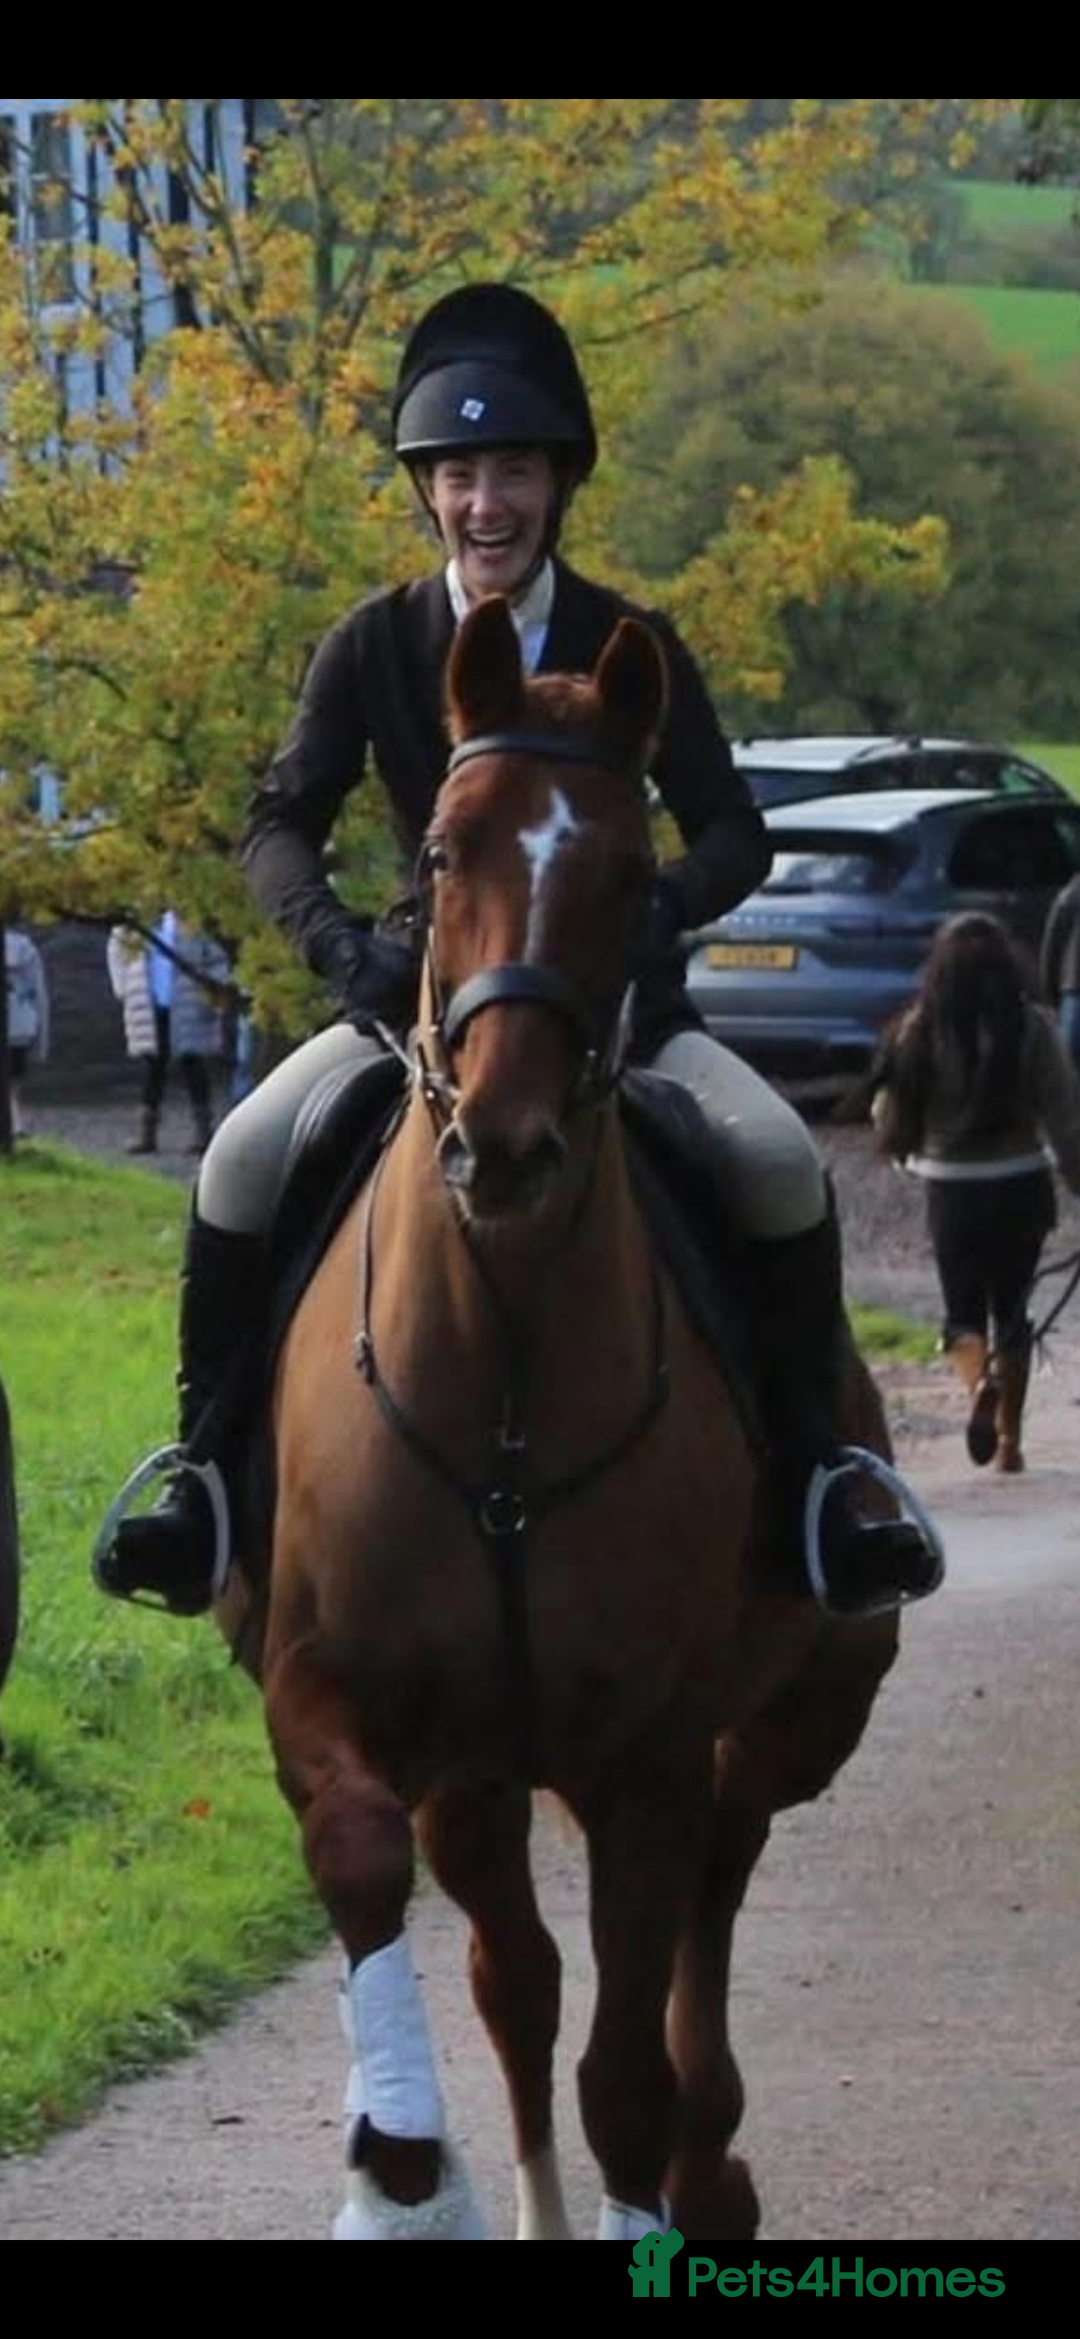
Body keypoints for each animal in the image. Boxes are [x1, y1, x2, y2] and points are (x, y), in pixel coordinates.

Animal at [234, 596, 901, 2242]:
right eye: (438, 854)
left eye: (625, 869)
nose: (507, 1143)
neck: (507, 1361)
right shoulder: (331, 1693)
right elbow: (368, 1870)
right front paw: (402, 2168)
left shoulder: (647, 1751)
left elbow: (628, 2073)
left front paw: (652, 2179)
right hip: (482, 1775)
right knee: (516, 1977)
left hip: (797, 1711)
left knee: (716, 1879)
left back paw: (713, 2166)